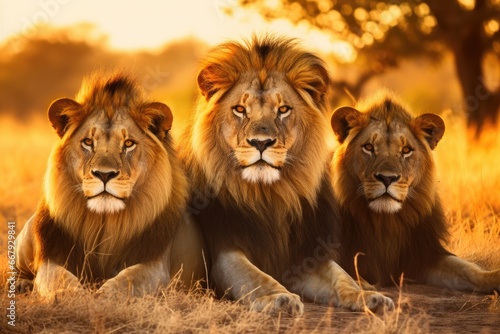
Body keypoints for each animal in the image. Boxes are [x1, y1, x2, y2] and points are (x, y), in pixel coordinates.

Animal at [15, 71, 207, 298]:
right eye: (88, 142)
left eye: (128, 143)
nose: (104, 174)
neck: (104, 223)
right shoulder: (51, 256)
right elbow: (57, 276)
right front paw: (72, 294)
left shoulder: (156, 266)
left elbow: (129, 279)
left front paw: (103, 296)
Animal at [180, 36, 394, 316]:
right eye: (240, 109)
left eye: (283, 109)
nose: (261, 143)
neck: (269, 195)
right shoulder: (225, 252)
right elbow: (258, 278)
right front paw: (280, 298)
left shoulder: (306, 253)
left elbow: (341, 278)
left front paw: (368, 297)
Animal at [332, 91, 500, 292]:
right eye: (369, 147)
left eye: (406, 150)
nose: (387, 178)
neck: (385, 222)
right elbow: (344, 270)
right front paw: (363, 285)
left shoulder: (425, 256)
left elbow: (469, 269)